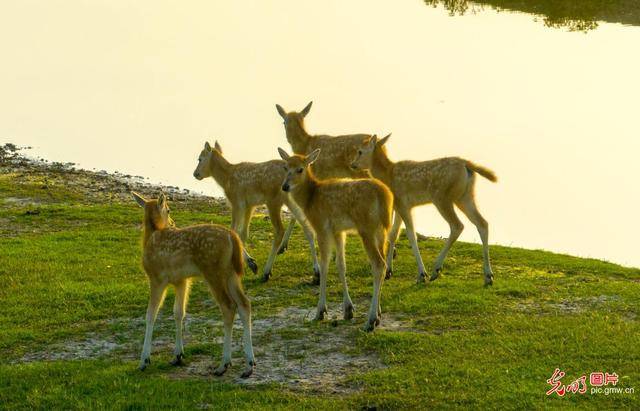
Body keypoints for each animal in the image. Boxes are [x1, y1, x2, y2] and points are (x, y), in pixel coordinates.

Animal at [132, 192, 255, 378]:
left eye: (168, 209)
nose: (173, 223)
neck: (151, 236)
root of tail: (233, 237)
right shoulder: (182, 280)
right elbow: (178, 312)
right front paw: (177, 355)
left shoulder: (156, 277)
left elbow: (151, 315)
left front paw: (144, 360)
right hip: (231, 273)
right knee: (244, 303)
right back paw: (248, 365)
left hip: (213, 271)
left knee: (228, 306)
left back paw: (224, 364)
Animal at [191, 141, 318, 284]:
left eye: (200, 159)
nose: (195, 174)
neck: (226, 179)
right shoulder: (249, 205)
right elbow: (243, 233)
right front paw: (248, 263)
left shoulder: (236, 202)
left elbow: (233, 230)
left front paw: (251, 264)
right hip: (291, 202)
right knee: (307, 227)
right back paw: (316, 273)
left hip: (273, 200)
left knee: (280, 230)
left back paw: (267, 272)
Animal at [278, 147, 392, 332]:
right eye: (285, 167)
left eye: (300, 169)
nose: (285, 186)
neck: (310, 199)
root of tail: (385, 197)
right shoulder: (339, 231)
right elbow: (341, 264)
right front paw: (348, 309)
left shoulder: (322, 227)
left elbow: (325, 265)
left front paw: (320, 311)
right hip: (381, 230)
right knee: (382, 262)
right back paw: (378, 314)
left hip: (366, 227)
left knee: (378, 264)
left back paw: (370, 320)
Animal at [350, 135, 496, 286]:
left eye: (360, 151)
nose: (352, 164)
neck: (387, 175)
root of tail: (467, 165)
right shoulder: (399, 205)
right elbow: (393, 234)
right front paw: (389, 271)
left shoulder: (403, 204)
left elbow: (411, 235)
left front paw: (421, 274)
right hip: (465, 196)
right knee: (482, 223)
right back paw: (488, 276)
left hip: (442, 197)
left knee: (457, 225)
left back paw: (436, 270)